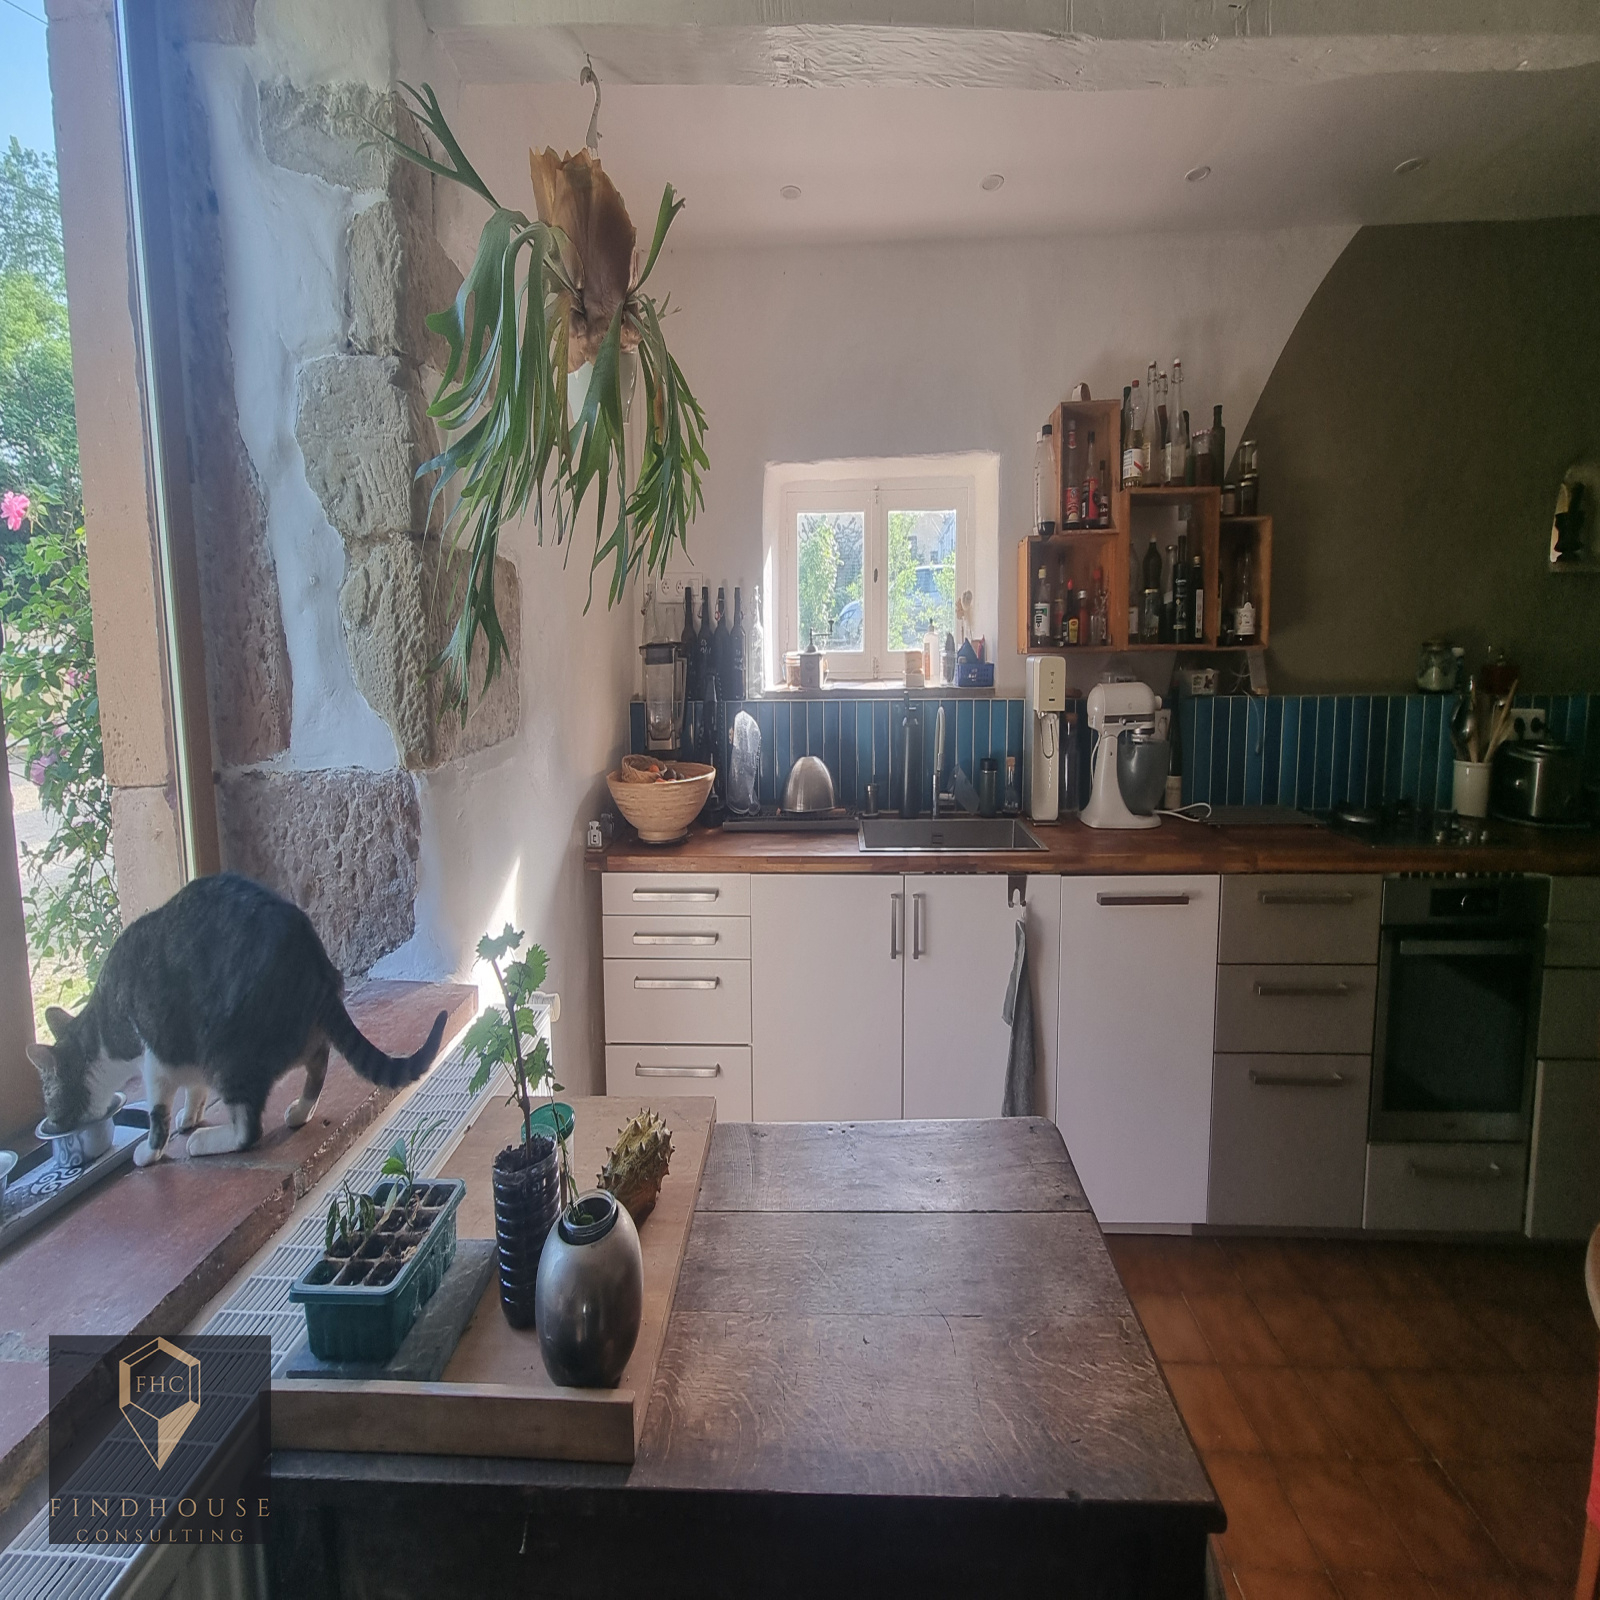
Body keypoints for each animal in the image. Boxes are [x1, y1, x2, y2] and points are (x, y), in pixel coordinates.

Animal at [26, 872, 448, 1168]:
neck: (102, 1033)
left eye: (49, 1099)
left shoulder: (157, 1056)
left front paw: (151, 1151)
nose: (54, 1125)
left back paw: (207, 1142)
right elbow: (193, 1089)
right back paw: (299, 1111)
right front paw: (190, 1115)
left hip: (230, 1053)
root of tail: (316, 965)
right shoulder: (185, 1054)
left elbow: (157, 1115)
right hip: (289, 1038)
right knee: (317, 1066)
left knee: (249, 1130)